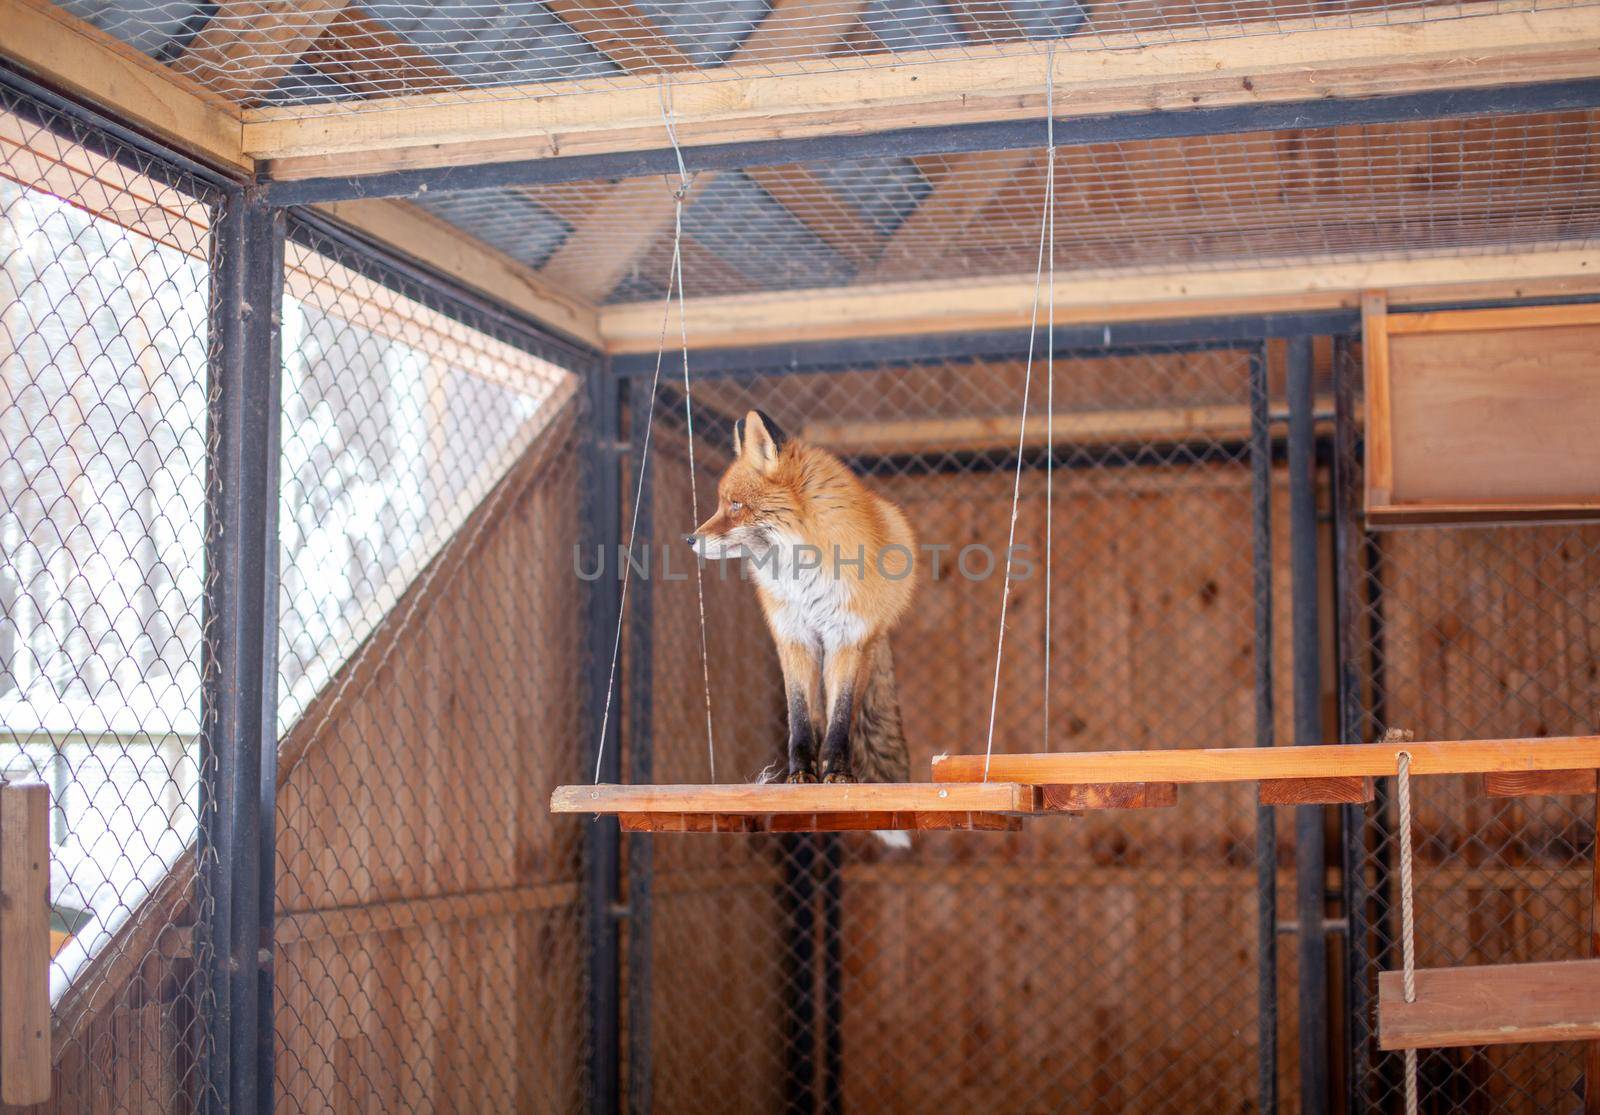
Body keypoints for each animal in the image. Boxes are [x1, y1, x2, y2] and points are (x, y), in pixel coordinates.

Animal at [684, 412, 915, 787]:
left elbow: (841, 719)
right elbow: (800, 720)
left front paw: (837, 771)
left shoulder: (847, 637)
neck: (804, 577)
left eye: (735, 505)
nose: (690, 539)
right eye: (723, 503)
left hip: (862, 648)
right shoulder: (793, 636)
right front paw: (801, 772)